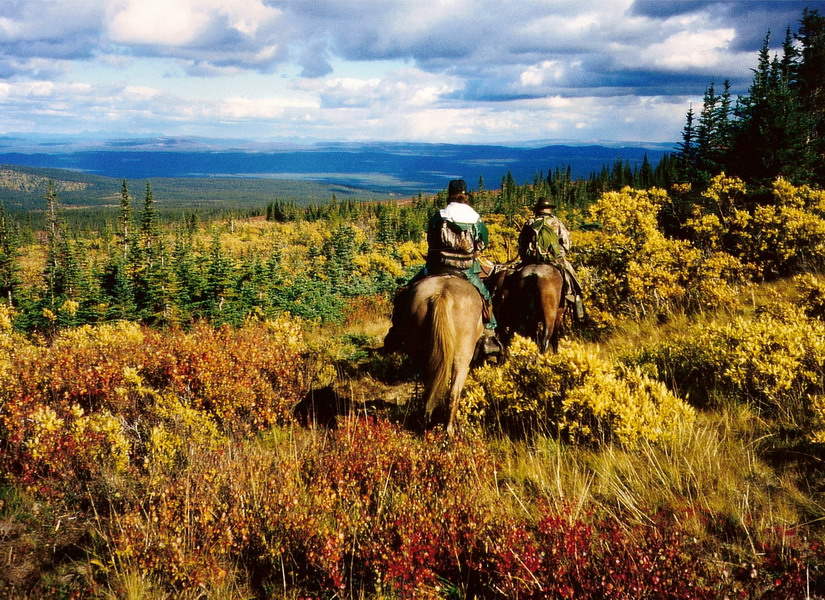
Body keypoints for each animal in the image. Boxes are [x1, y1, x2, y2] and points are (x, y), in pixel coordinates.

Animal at [392, 274, 482, 434]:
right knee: (454, 392)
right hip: (463, 356)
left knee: (429, 389)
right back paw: (449, 430)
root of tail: (442, 294)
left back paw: (426, 422)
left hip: (421, 355)